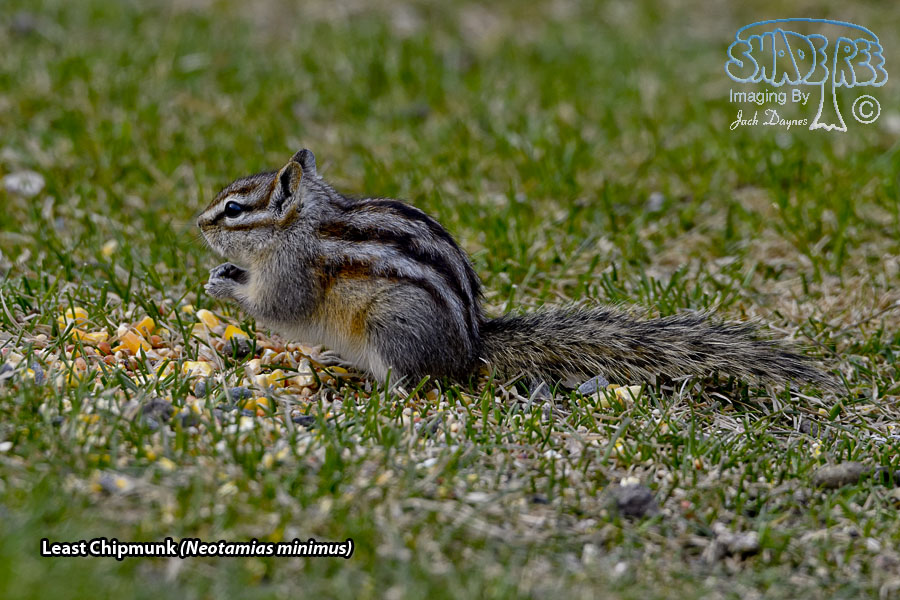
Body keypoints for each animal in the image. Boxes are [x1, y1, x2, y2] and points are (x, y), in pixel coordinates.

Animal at [198, 149, 838, 393]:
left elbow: (275, 306)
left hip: (390, 326)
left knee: (416, 380)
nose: (196, 224)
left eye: (234, 210)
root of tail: (471, 348)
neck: (300, 225)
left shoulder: (293, 273)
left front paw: (225, 282)